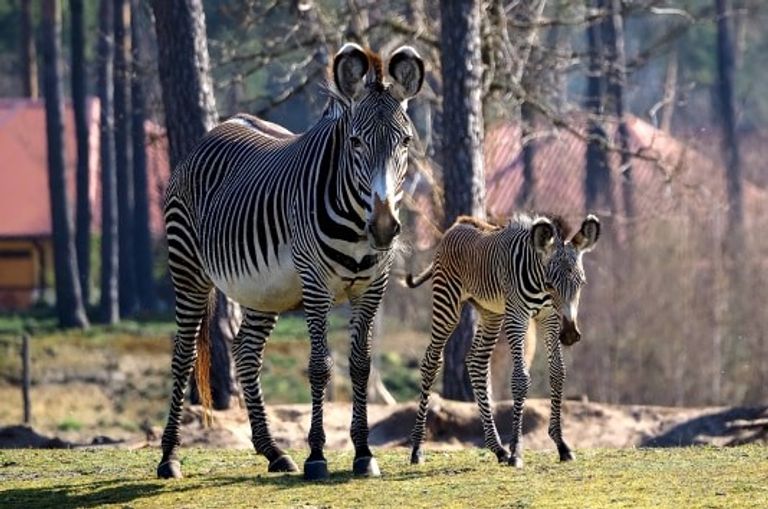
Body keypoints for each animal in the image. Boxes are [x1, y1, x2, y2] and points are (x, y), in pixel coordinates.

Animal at [408, 212, 600, 466]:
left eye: (582, 283)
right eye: (550, 284)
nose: (569, 334)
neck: (540, 284)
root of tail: (458, 224)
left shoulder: (549, 317)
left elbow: (558, 372)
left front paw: (561, 444)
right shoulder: (517, 316)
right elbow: (520, 379)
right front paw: (516, 450)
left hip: (491, 312)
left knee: (477, 362)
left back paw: (497, 448)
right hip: (447, 302)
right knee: (431, 361)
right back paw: (417, 448)